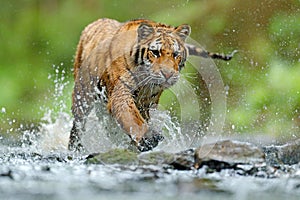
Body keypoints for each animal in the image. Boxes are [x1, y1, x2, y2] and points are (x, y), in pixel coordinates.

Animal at [68, 18, 234, 152]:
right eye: (155, 52)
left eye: (176, 54)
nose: (167, 74)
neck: (145, 82)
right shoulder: (121, 93)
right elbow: (132, 116)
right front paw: (148, 138)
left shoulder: (147, 102)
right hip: (82, 96)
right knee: (78, 125)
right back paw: (75, 149)